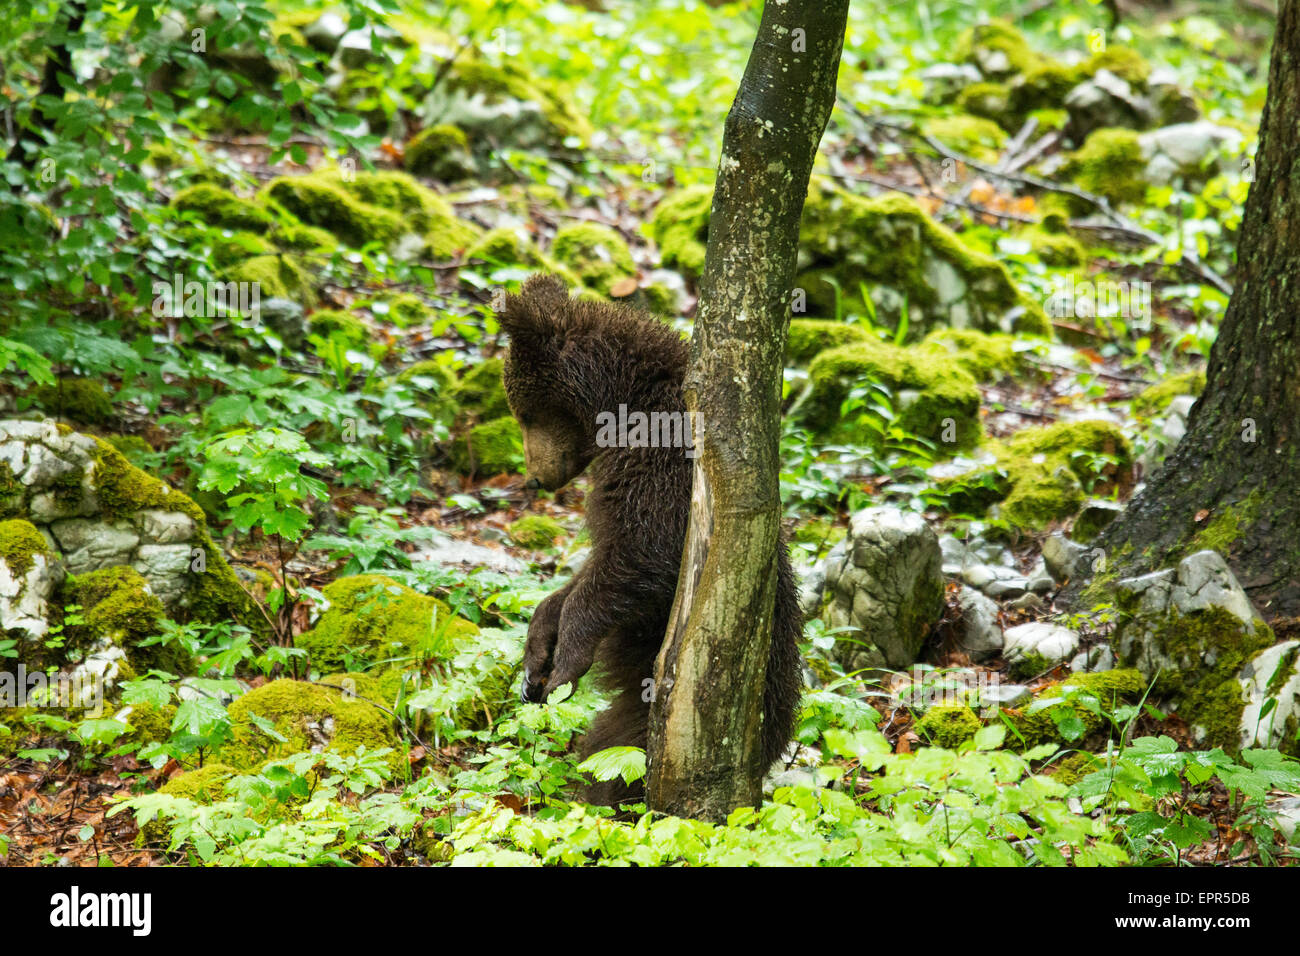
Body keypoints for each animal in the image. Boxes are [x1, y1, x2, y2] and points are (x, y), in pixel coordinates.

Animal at [498, 273, 803, 804]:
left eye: (525, 414)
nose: (534, 479)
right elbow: (590, 570)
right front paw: (534, 660)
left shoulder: (663, 476)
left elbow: (637, 562)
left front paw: (565, 664)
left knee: (619, 764)